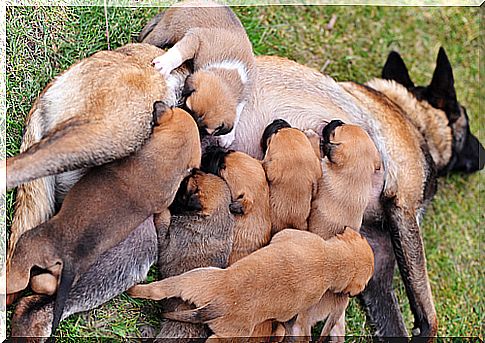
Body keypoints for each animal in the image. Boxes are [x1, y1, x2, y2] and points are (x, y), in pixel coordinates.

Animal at [6, 104, 199, 336]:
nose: (158, 103)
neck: (164, 161)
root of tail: (72, 260)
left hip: (30, 244)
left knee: (18, 279)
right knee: (45, 286)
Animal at [138, 0, 255, 146]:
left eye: (206, 130)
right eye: (187, 107)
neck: (230, 71)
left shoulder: (245, 91)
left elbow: (239, 109)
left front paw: (228, 135)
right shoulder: (196, 38)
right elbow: (181, 51)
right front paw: (166, 63)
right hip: (164, 32)